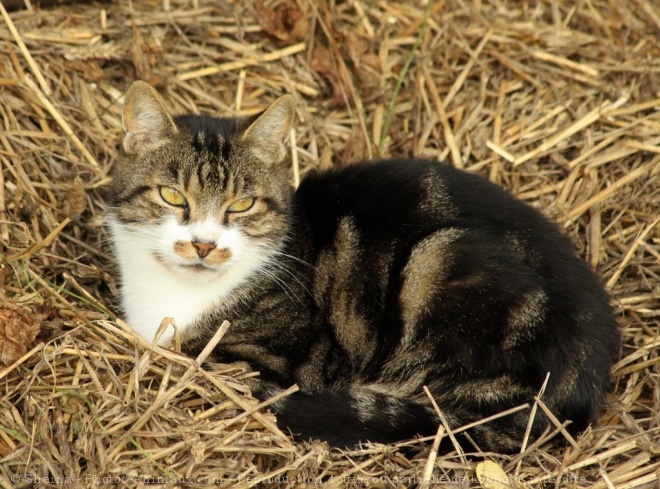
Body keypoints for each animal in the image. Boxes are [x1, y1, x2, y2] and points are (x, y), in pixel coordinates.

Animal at [105, 79, 620, 450]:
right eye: (172, 196)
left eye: (243, 204)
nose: (204, 246)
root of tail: (588, 378)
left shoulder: (300, 359)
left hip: (442, 263)